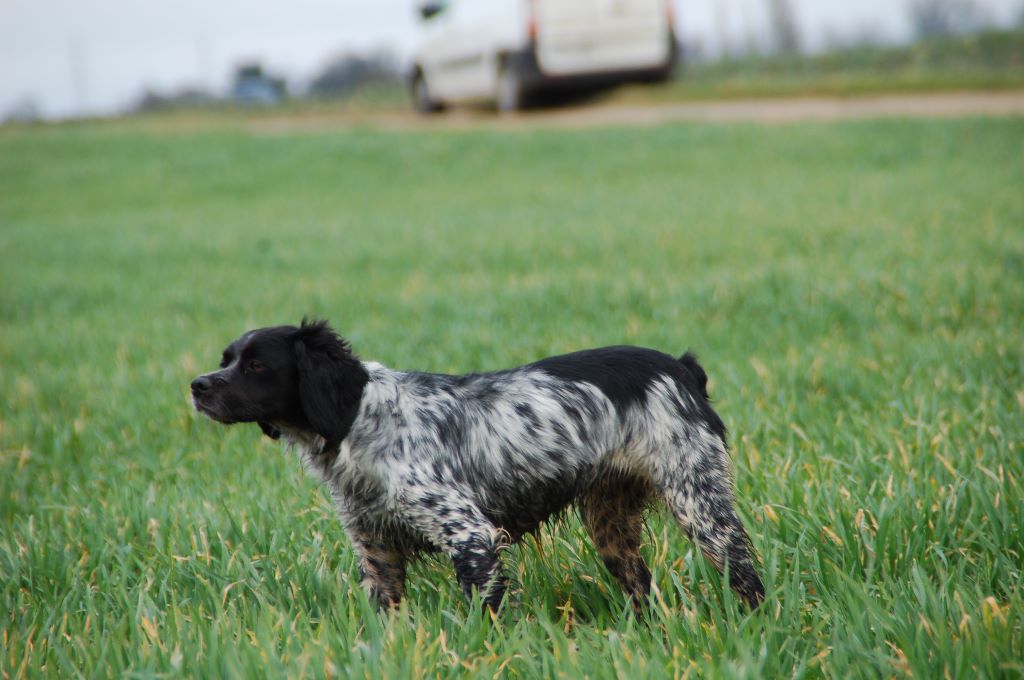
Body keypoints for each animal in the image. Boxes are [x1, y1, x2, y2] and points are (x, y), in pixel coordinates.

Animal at [192, 319, 765, 610]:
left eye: (257, 364)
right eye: (225, 359)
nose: (197, 386)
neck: (359, 417)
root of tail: (680, 367)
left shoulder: (470, 535)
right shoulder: (376, 551)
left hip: (700, 505)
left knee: (746, 574)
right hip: (612, 524)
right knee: (641, 586)